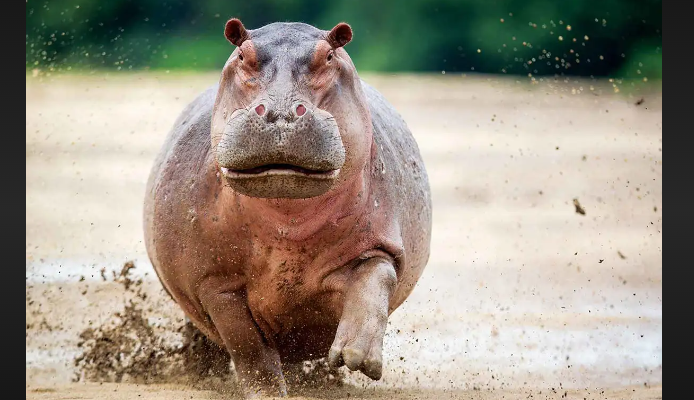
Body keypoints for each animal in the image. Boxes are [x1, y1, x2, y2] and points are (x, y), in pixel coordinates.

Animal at [143, 18, 432, 398]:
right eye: (241, 54)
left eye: (329, 56)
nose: (280, 112)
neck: (288, 223)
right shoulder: (215, 282)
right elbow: (246, 343)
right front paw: (267, 392)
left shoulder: (379, 244)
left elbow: (374, 281)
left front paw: (356, 357)